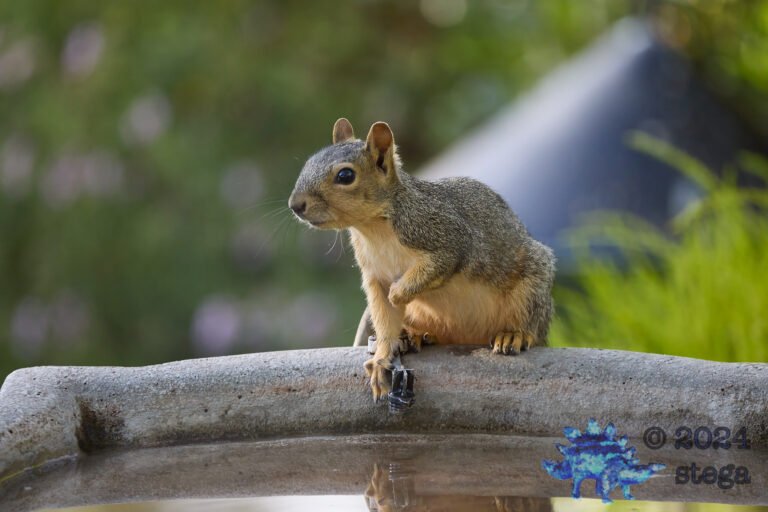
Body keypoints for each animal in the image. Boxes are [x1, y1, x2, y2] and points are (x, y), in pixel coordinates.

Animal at [289, 118, 555, 401]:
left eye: (345, 176)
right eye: (308, 162)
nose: (295, 205)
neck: (373, 228)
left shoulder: (446, 238)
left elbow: (436, 266)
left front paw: (398, 294)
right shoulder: (376, 278)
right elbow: (385, 319)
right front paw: (382, 359)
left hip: (530, 289)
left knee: (530, 323)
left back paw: (513, 334)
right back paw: (415, 335)